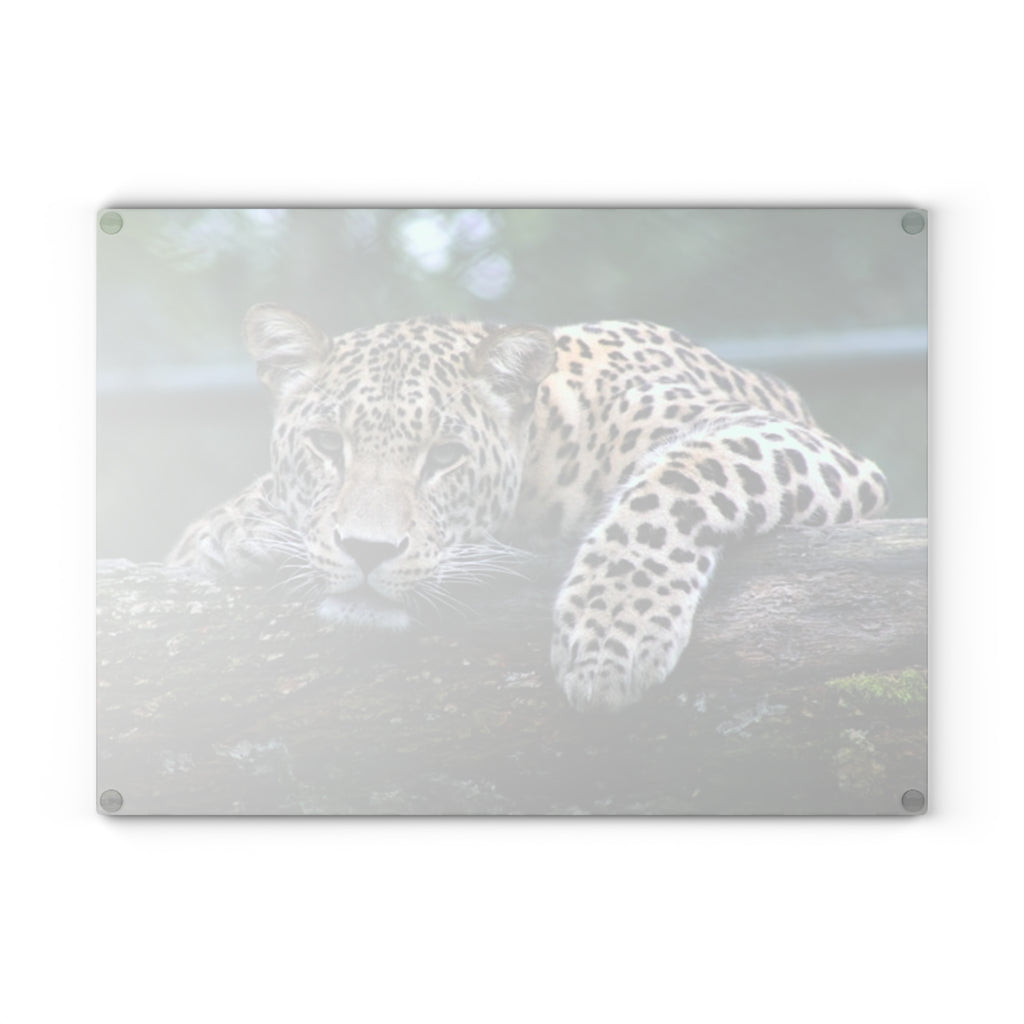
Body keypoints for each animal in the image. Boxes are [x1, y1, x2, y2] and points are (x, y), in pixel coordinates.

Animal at [169, 304, 889, 711]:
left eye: (444, 457)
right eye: (325, 445)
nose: (368, 552)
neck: (545, 451)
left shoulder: (796, 443)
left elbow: (683, 475)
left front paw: (611, 634)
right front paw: (229, 531)